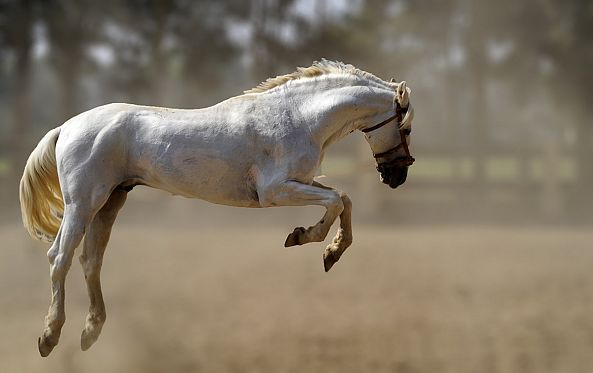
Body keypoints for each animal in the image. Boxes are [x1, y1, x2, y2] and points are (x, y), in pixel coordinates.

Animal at [19, 58, 416, 354]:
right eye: (407, 127)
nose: (397, 176)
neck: (297, 117)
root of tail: (67, 126)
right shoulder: (275, 190)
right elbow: (335, 201)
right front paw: (305, 237)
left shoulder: (299, 183)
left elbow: (343, 199)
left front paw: (328, 251)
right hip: (83, 204)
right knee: (60, 258)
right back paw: (49, 336)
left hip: (110, 203)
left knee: (91, 261)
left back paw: (91, 331)